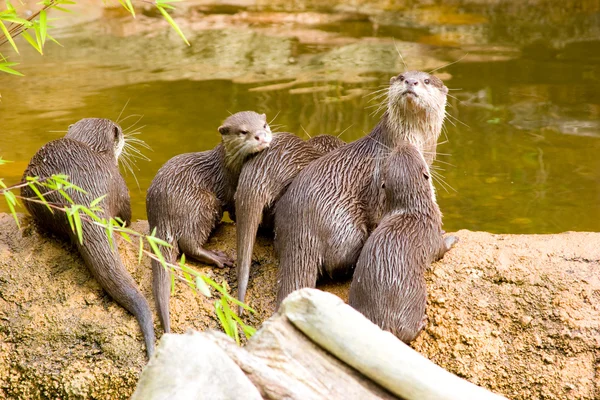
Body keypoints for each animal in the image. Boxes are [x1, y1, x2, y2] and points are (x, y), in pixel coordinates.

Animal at [22, 117, 156, 358]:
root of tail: (80, 196)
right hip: (114, 186)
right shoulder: (120, 180)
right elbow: (127, 216)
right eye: (119, 133)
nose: (124, 136)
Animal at [148, 111, 272, 332]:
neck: (229, 167)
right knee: (189, 243)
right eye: (243, 132)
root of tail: (160, 215)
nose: (260, 136)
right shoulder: (230, 188)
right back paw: (218, 258)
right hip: (202, 205)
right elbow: (234, 208)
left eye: (264, 125)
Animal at [274, 71, 448, 304]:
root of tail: (301, 232)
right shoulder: (380, 184)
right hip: (344, 226)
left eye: (426, 80)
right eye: (402, 76)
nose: (411, 82)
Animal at [344, 142, 458, 342]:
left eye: (395, 153)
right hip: (416, 292)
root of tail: (383, 323)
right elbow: (441, 248)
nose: (404, 144)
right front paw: (452, 237)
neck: (413, 209)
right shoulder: (432, 233)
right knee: (406, 333)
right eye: (415, 152)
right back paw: (421, 323)